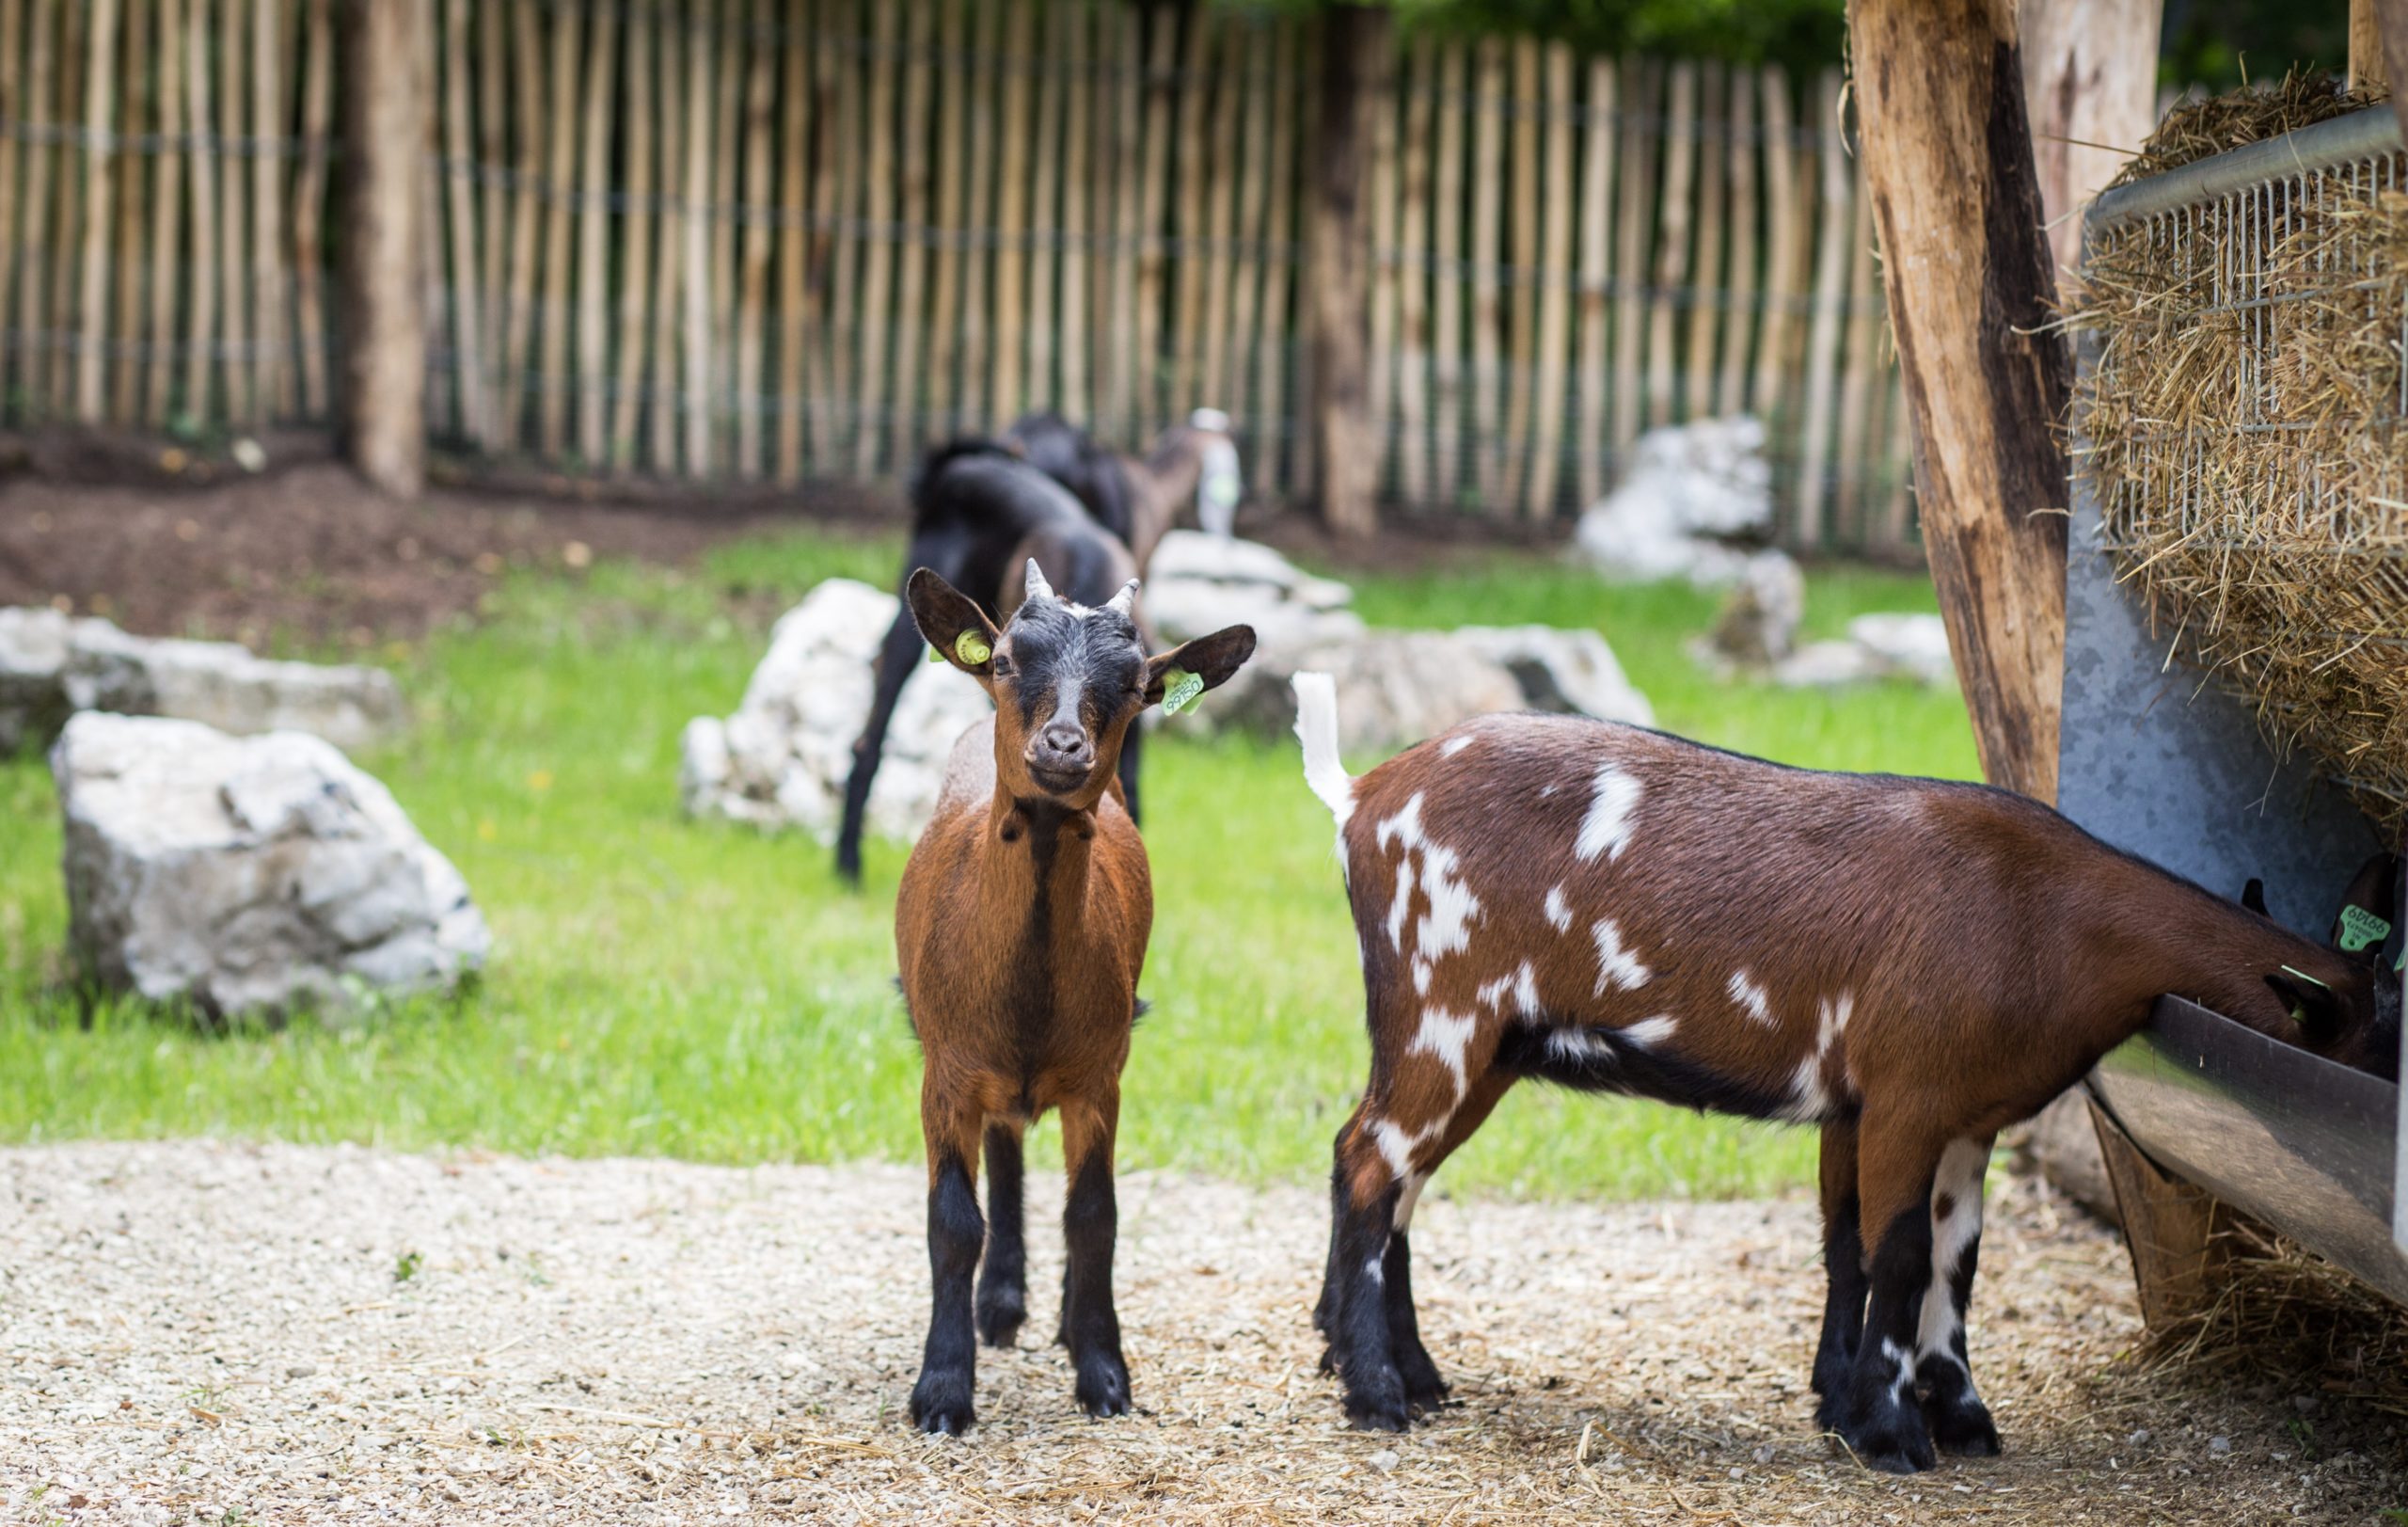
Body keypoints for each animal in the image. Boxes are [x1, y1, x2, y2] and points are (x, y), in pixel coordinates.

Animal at [895, 556, 1252, 1425]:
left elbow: (1095, 1215)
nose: (1063, 745)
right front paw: (943, 1392)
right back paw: (999, 1306)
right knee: (1004, 1149)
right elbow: (953, 1220)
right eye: (1005, 660)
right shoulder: (946, 1072)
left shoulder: (1100, 1074)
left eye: (1134, 683)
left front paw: (1103, 1373)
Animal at [1309, 669, 2398, 1464]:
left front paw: (1935, 1411)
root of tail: (1362, 794)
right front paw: (1889, 1431)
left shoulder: (1950, 1116)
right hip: (1442, 1014)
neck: (2048, 917)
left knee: (1389, 1175)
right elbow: (1899, 1253)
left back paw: (1410, 1375)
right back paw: (1376, 1395)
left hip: (1482, 1045)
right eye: (2370, 1041)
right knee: (1372, 1163)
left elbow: (1931, 1257)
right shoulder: (1909, 1098)